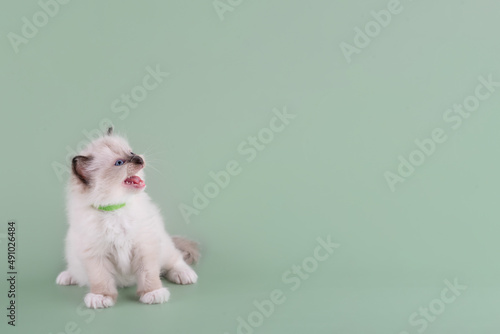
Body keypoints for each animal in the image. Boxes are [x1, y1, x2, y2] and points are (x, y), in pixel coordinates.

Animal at [56, 127, 199, 308]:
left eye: (131, 152)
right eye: (119, 163)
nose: (139, 159)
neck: (115, 210)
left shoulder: (144, 246)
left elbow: (149, 275)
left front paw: (153, 293)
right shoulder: (95, 254)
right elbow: (100, 279)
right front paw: (100, 297)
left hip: (164, 246)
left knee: (175, 260)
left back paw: (185, 275)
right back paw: (67, 276)